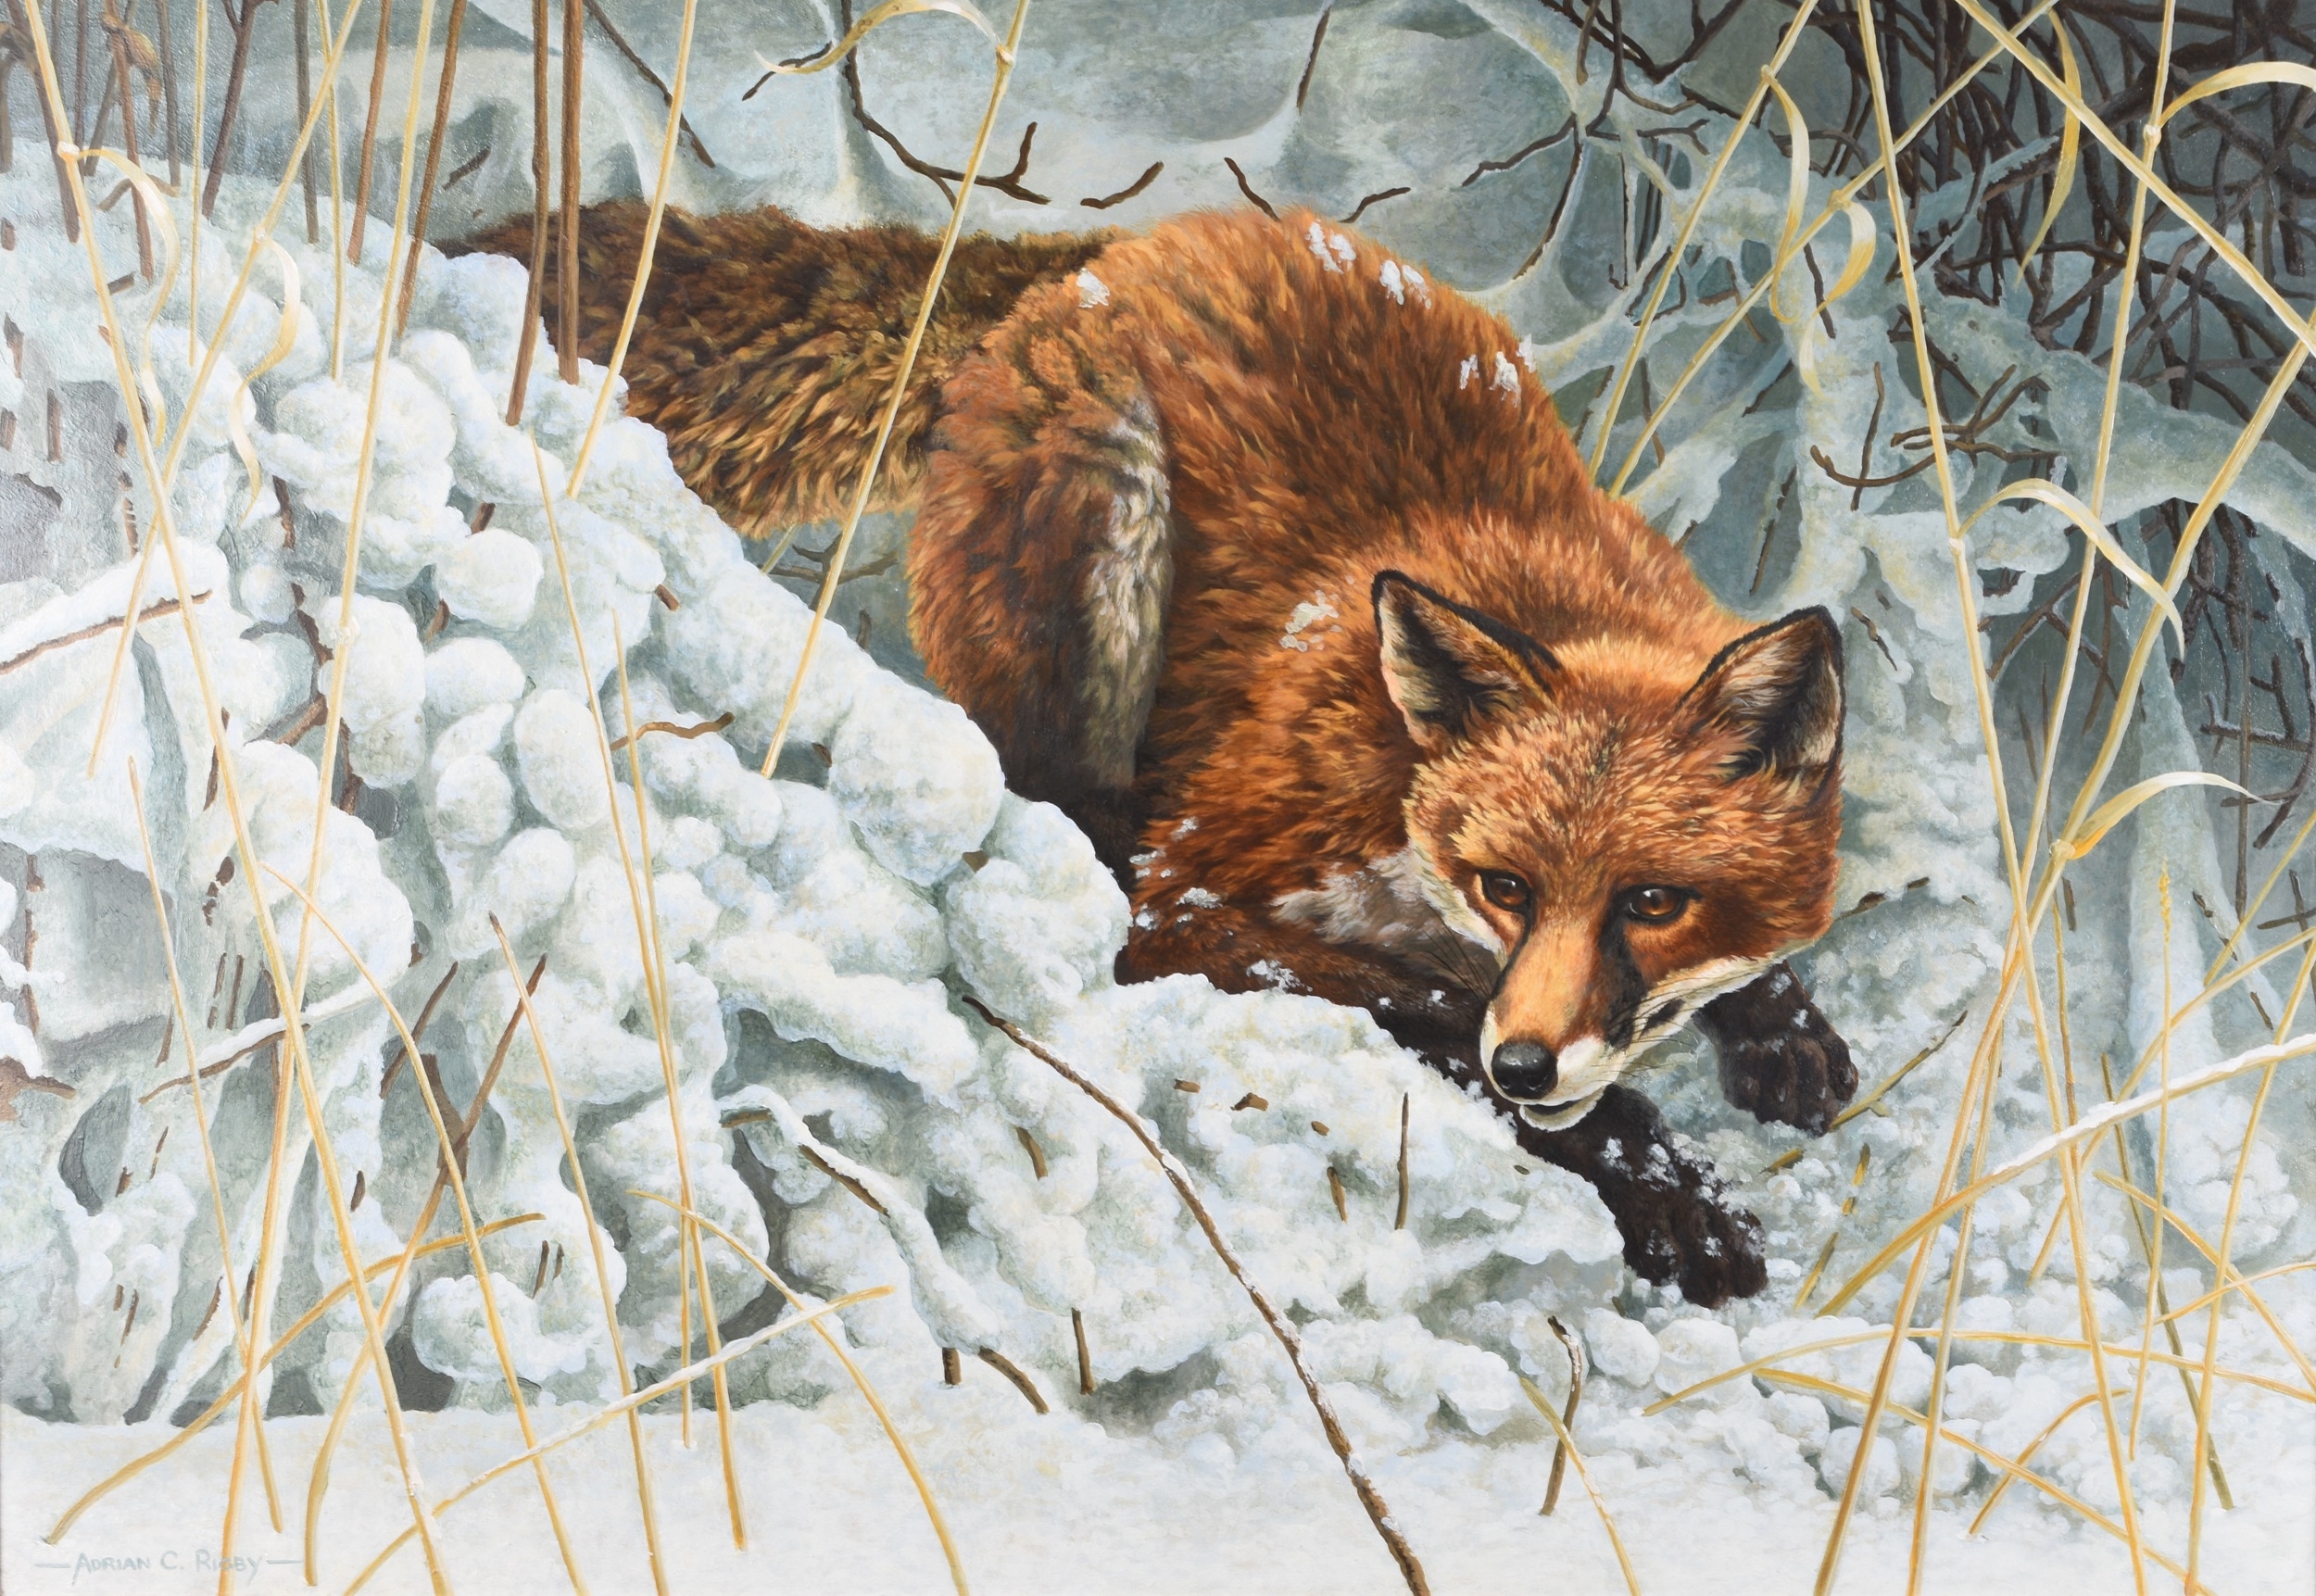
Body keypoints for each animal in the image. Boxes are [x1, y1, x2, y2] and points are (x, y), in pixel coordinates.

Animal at [466, 199, 1858, 1306]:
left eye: (1655, 902)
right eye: (1505, 885)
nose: (1529, 1063)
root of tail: (1121, 249)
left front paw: (1779, 1027)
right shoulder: (1201, 896)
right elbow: (1428, 1011)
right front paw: (1670, 1190)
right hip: (1104, 539)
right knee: (1057, 800)